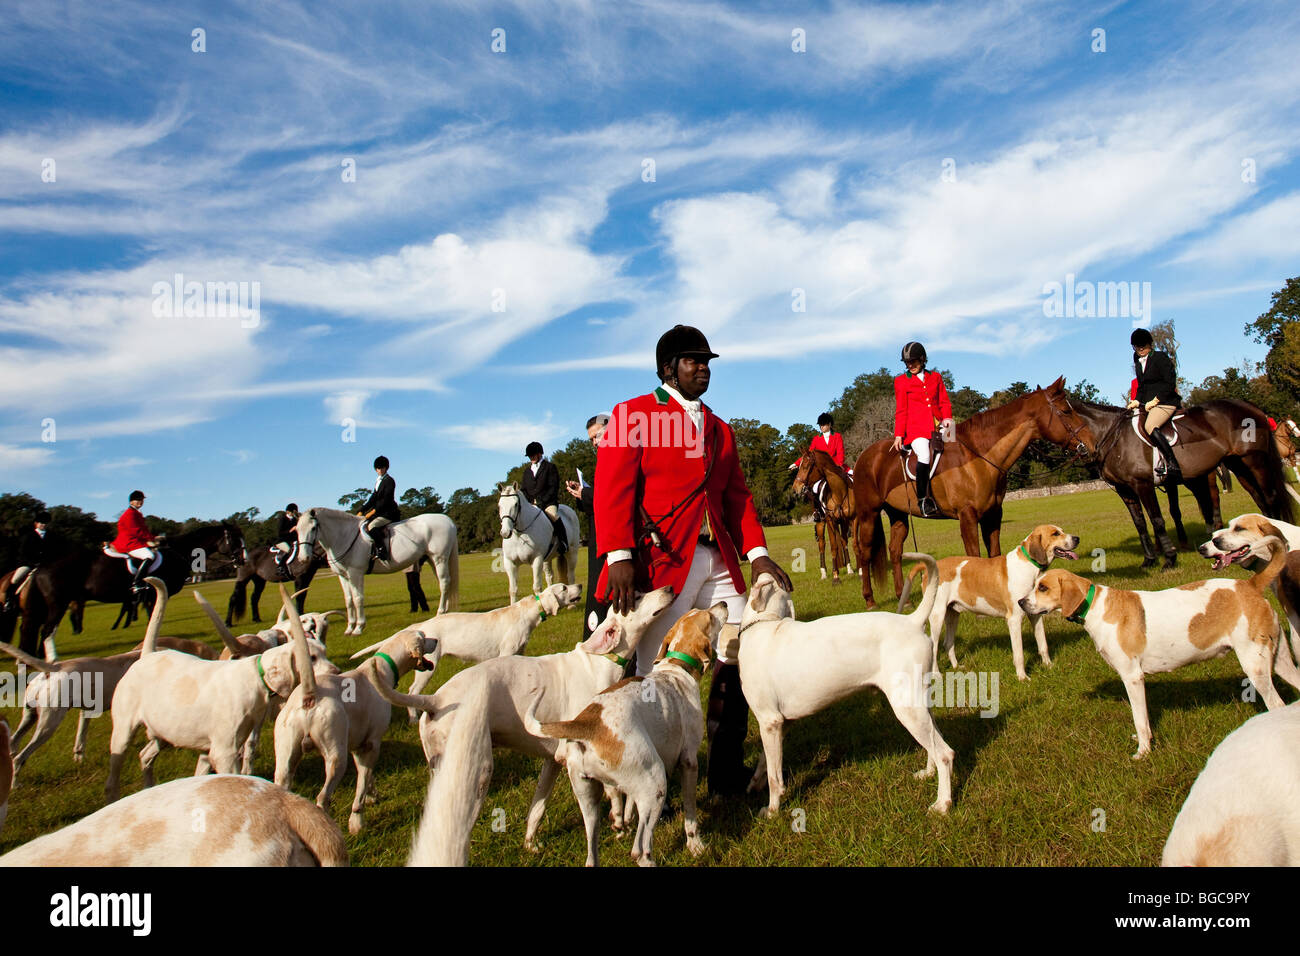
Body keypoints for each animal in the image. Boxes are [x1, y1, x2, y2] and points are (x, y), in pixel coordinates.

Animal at [297, 509, 460, 634]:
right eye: (297, 530)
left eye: (313, 528)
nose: (303, 558)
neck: (343, 537)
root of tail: (447, 520)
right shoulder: (343, 576)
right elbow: (348, 600)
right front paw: (349, 628)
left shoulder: (355, 574)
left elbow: (358, 598)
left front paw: (359, 627)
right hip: (432, 559)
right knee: (444, 582)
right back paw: (445, 611)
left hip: (440, 558)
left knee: (444, 582)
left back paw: (440, 612)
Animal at [785, 447, 857, 582]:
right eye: (799, 464)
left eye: (806, 466)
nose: (795, 488)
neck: (838, 491)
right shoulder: (830, 520)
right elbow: (833, 546)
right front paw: (835, 575)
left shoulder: (848, 519)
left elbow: (847, 542)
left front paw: (853, 569)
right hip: (820, 523)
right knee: (822, 545)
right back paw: (823, 573)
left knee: (842, 541)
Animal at [852, 374, 1097, 606]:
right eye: (1066, 411)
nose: (1092, 444)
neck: (980, 454)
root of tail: (865, 456)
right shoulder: (967, 515)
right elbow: (974, 555)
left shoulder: (993, 514)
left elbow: (994, 554)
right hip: (868, 514)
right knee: (864, 552)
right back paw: (869, 599)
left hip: (898, 515)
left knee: (895, 551)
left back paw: (902, 596)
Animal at [1071, 398, 1294, 567]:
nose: (1083, 453)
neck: (1111, 435)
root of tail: (1249, 406)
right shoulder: (1131, 488)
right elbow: (1149, 519)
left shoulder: (1143, 483)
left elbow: (1160, 517)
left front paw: (1170, 554)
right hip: (1236, 464)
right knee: (1257, 497)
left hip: (1253, 460)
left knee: (1267, 496)